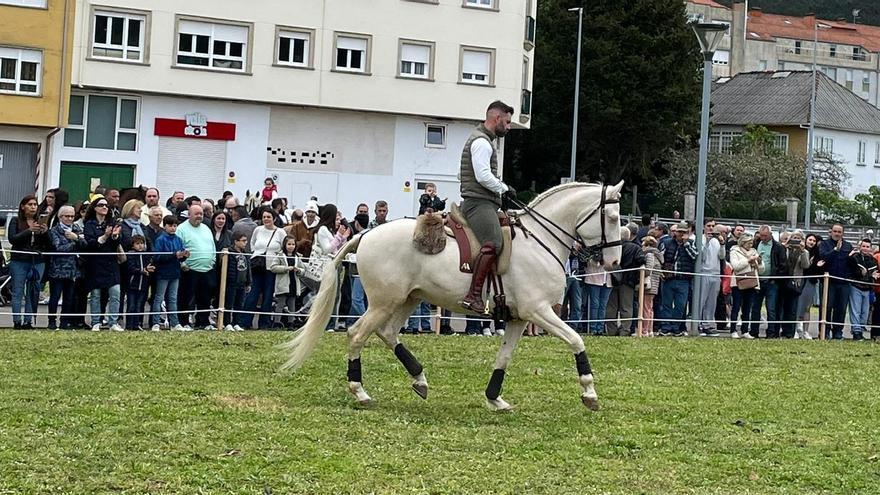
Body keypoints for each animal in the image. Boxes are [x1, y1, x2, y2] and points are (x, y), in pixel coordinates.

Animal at [282, 182, 624, 410]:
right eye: (612, 218)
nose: (614, 262)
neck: (540, 241)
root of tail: (365, 234)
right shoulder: (539, 311)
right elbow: (576, 340)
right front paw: (589, 393)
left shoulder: (517, 317)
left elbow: (504, 357)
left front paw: (494, 398)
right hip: (383, 302)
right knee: (356, 334)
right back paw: (360, 391)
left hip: (407, 299)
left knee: (388, 333)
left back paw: (419, 380)